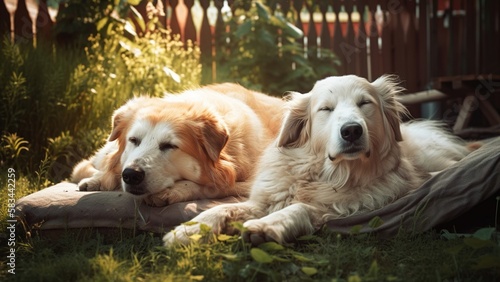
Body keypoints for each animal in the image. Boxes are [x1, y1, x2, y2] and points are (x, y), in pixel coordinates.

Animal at [69, 83, 286, 205]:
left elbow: (213, 187)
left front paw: (177, 190)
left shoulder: (253, 180)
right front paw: (102, 178)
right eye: (134, 141)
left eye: (169, 146)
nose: (131, 175)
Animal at [164, 76, 476, 246]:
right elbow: (219, 209)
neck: (322, 174)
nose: (351, 131)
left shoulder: (344, 211)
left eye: (365, 103)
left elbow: (300, 208)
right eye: (326, 109)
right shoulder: (263, 200)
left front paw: (268, 226)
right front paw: (188, 230)